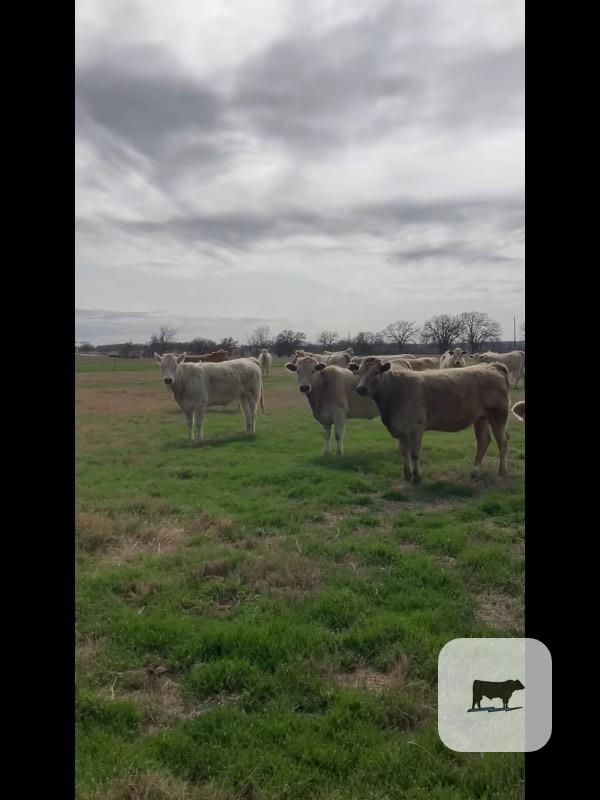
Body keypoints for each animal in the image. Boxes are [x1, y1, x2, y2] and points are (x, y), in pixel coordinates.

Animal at [355, 359, 510, 482]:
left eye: (375, 372)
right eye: (359, 372)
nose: (360, 388)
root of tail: (492, 366)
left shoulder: (416, 428)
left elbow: (415, 453)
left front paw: (417, 476)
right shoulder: (401, 430)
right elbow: (405, 453)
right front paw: (407, 475)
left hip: (498, 416)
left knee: (502, 442)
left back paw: (502, 471)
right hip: (481, 418)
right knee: (483, 441)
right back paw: (474, 472)